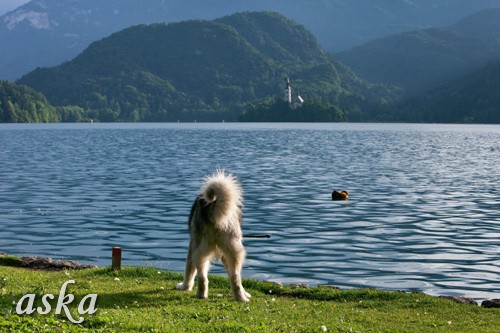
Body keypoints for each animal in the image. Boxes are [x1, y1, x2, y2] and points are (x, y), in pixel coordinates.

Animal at [177, 171, 254, 300]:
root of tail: (213, 206)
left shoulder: (192, 245)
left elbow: (189, 270)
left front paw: (184, 287)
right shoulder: (225, 254)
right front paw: (246, 293)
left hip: (200, 249)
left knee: (202, 277)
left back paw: (201, 295)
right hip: (234, 251)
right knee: (235, 277)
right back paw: (241, 298)